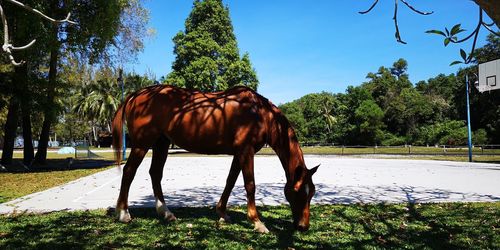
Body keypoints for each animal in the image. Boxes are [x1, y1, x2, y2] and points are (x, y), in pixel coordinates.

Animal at [112, 84, 318, 232]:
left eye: (312, 193)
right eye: (298, 191)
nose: (303, 226)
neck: (259, 113)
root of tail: (137, 94)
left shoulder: (239, 153)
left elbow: (230, 181)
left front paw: (222, 213)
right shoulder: (246, 151)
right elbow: (250, 185)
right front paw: (257, 222)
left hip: (161, 143)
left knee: (155, 173)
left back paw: (166, 213)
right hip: (142, 144)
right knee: (129, 172)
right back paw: (123, 213)